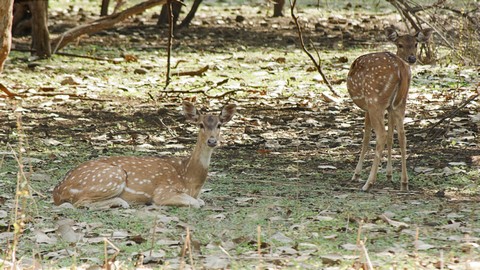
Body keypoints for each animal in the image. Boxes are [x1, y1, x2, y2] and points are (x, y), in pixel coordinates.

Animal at [52, 101, 236, 209]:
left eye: (219, 125)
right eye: (200, 125)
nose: (212, 141)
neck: (190, 178)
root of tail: (58, 192)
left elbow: (201, 200)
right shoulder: (163, 191)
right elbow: (196, 203)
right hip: (111, 177)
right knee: (80, 203)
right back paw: (121, 202)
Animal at [346, 26, 434, 192]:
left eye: (416, 44)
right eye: (400, 44)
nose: (412, 58)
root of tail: (401, 69)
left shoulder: (368, 107)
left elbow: (366, 137)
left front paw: (356, 174)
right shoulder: (390, 107)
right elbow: (391, 137)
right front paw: (389, 174)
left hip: (374, 100)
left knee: (381, 134)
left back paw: (368, 183)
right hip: (401, 103)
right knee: (402, 135)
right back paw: (404, 183)